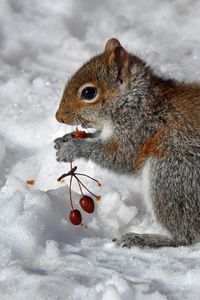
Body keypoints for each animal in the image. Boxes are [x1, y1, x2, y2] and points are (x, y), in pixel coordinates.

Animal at [53, 37, 200, 248]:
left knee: (187, 235)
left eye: (88, 92)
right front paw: (65, 139)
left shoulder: (138, 129)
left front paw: (73, 148)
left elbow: (119, 157)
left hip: (170, 176)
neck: (134, 100)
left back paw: (143, 239)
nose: (59, 117)